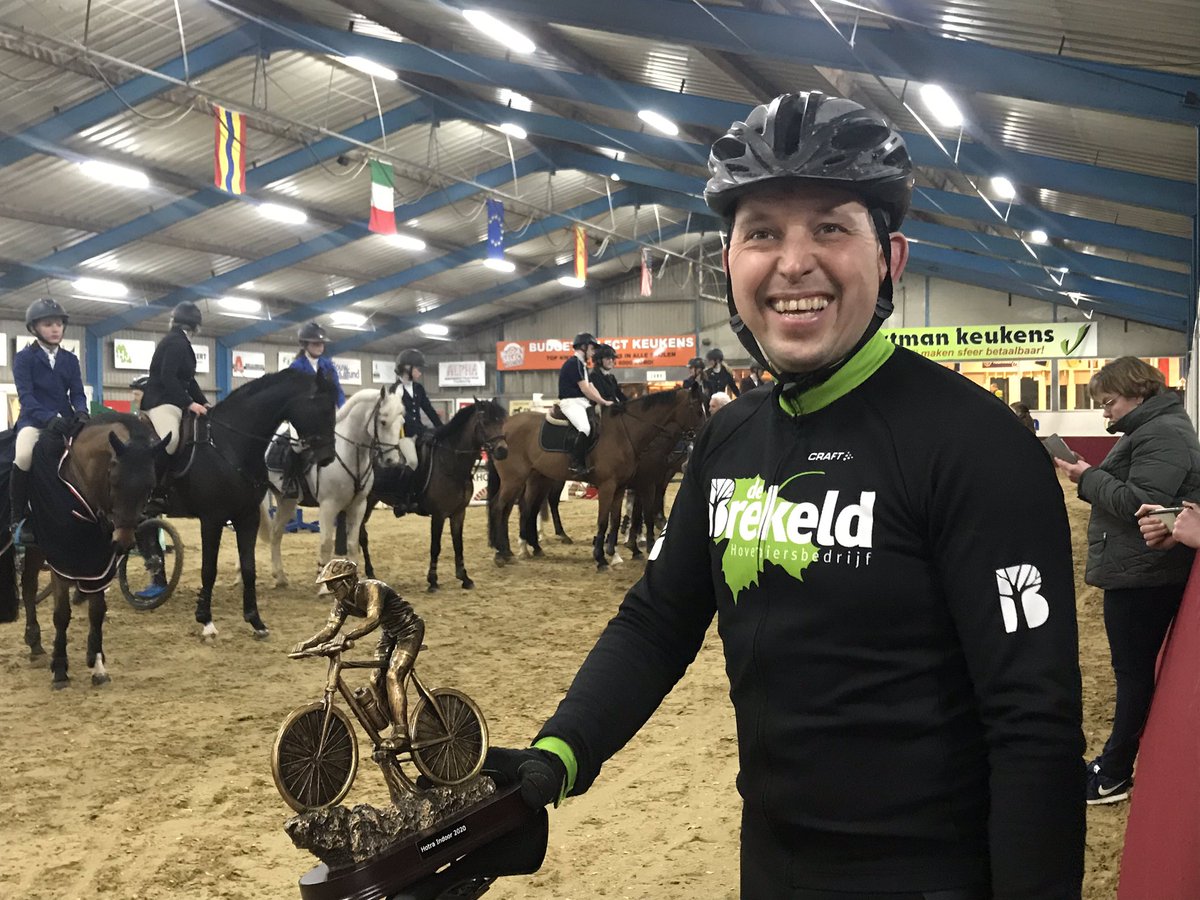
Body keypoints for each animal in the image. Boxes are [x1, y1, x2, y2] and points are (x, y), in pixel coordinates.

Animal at [9, 415, 165, 688]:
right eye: (114, 480)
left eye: (150, 485)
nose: (123, 542)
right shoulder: (61, 559)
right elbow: (62, 614)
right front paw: (60, 669)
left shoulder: (99, 561)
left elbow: (97, 611)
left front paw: (98, 664)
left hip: (37, 549)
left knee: (28, 586)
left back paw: (35, 643)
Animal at [153, 369, 337, 639]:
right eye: (322, 408)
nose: (328, 458)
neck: (230, 443)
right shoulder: (212, 519)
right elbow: (209, 569)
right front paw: (206, 621)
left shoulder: (247, 516)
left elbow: (249, 568)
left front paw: (255, 621)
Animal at [263, 386, 403, 588]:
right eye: (383, 421)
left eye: (401, 422)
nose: (392, 460)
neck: (347, 452)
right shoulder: (328, 506)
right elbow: (326, 543)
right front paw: (323, 582)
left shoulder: (358, 506)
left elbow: (353, 544)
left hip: (286, 501)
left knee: (275, 533)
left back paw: (280, 577)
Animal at [358, 398, 509, 592]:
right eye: (485, 422)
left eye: (502, 421)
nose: (502, 451)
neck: (451, 463)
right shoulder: (438, 515)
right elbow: (435, 546)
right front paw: (433, 581)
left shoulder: (459, 513)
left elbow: (458, 544)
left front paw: (464, 578)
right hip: (365, 501)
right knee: (361, 535)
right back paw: (368, 571)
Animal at [488, 384, 706, 571]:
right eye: (698, 409)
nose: (703, 435)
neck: (626, 432)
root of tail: (504, 429)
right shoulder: (622, 485)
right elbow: (611, 519)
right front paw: (603, 558)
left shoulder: (623, 486)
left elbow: (616, 519)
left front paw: (616, 554)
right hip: (515, 479)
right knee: (501, 507)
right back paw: (502, 553)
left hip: (537, 479)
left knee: (524, 510)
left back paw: (523, 549)